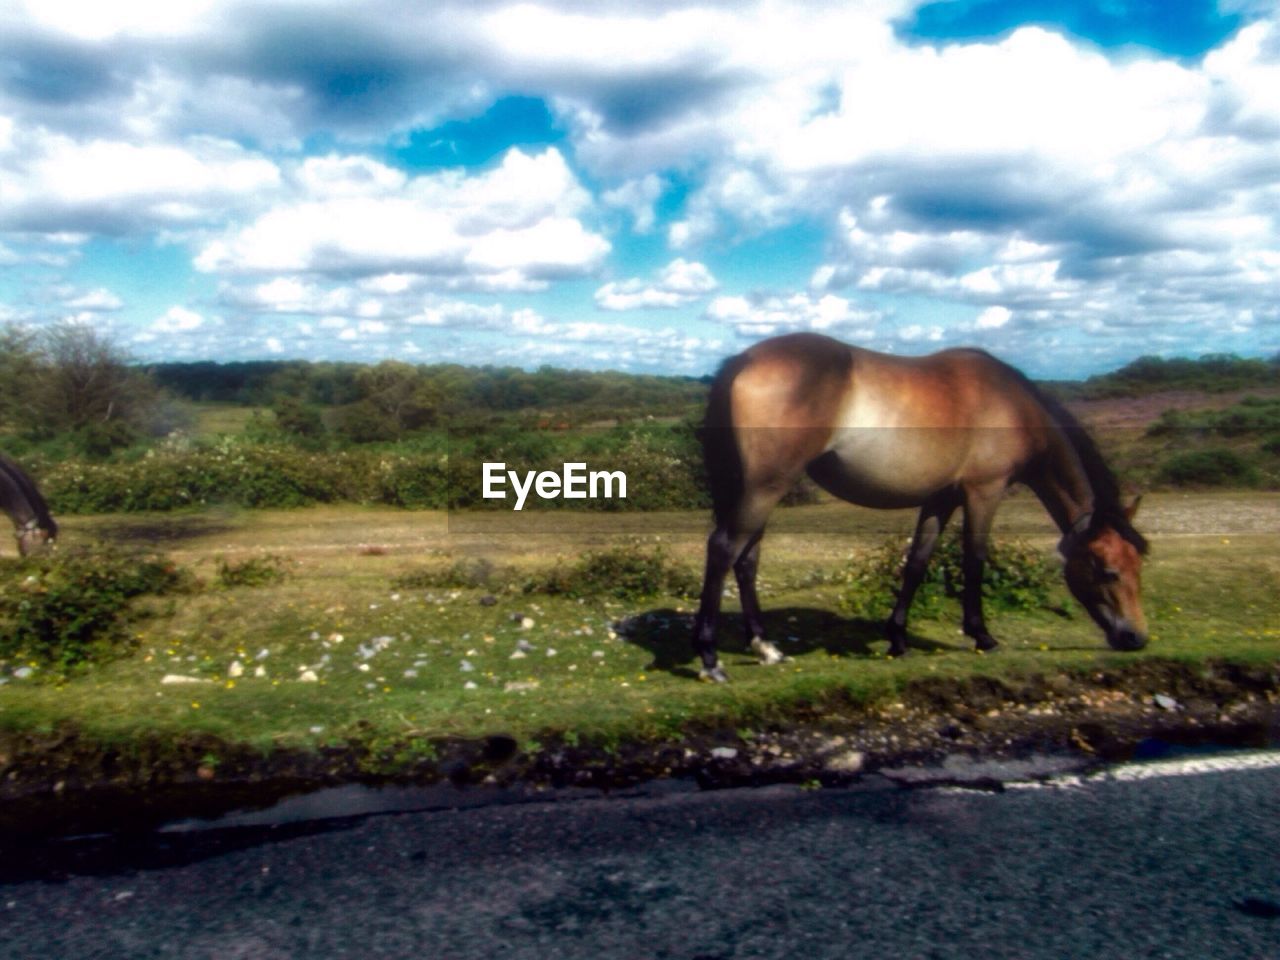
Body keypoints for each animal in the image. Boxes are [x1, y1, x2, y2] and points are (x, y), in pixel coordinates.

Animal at [691, 335, 1152, 686]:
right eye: (1107, 570)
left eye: (1138, 566)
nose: (1136, 638)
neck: (1013, 405)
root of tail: (745, 360)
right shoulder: (984, 492)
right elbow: (974, 559)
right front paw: (983, 636)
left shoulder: (940, 498)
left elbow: (917, 562)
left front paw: (897, 639)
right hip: (766, 487)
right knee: (724, 549)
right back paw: (711, 659)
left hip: (758, 489)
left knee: (747, 558)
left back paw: (766, 647)